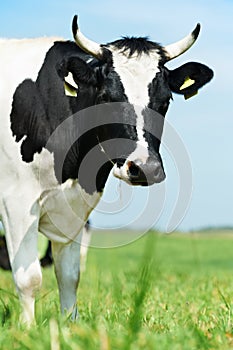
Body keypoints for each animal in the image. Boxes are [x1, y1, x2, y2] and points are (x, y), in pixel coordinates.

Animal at [0, 15, 213, 324]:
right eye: (106, 97)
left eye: (165, 101)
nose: (145, 168)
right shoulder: (16, 201)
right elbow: (29, 278)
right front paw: (27, 329)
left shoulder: (75, 206)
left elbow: (70, 275)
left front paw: (70, 326)